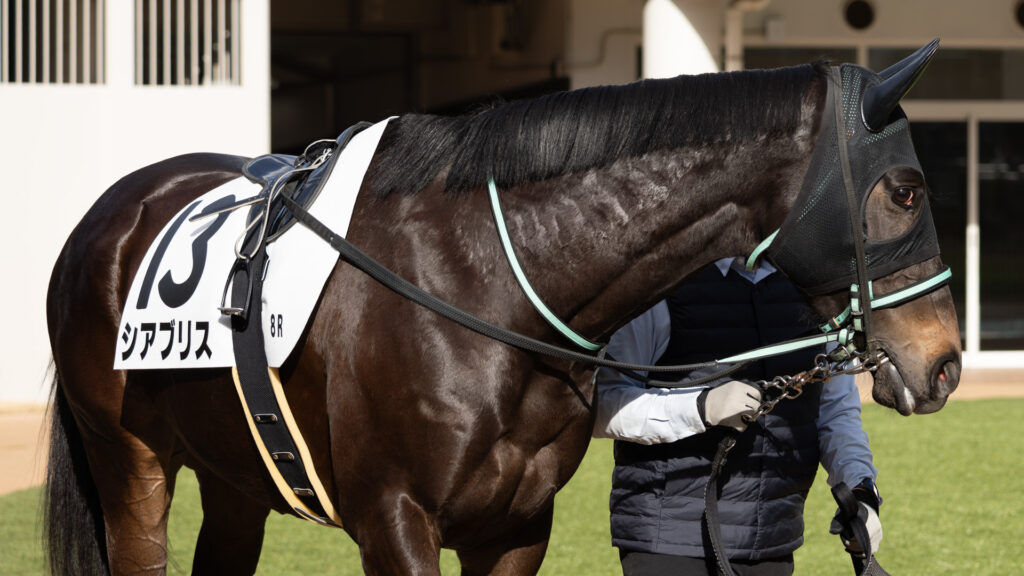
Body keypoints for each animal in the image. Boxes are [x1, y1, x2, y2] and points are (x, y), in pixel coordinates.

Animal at [44, 43, 960, 575]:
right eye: (906, 191)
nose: (946, 361)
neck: (485, 286)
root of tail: (110, 214)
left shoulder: (517, 526)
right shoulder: (394, 519)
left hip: (236, 476)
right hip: (129, 459)